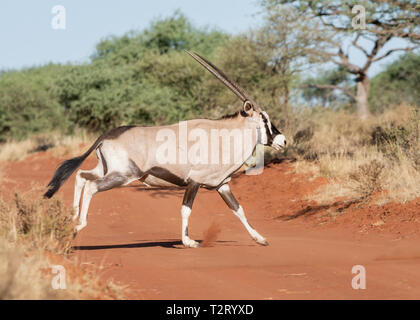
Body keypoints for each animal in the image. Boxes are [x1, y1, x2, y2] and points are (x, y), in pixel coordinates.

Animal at [44, 52, 288, 248]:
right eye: (265, 119)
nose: (283, 141)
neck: (224, 136)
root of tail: (106, 136)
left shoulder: (221, 185)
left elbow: (238, 209)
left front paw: (260, 239)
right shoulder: (194, 181)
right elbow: (186, 209)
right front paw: (188, 241)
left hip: (106, 170)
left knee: (81, 176)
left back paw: (71, 218)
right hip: (124, 175)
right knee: (92, 186)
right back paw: (78, 226)